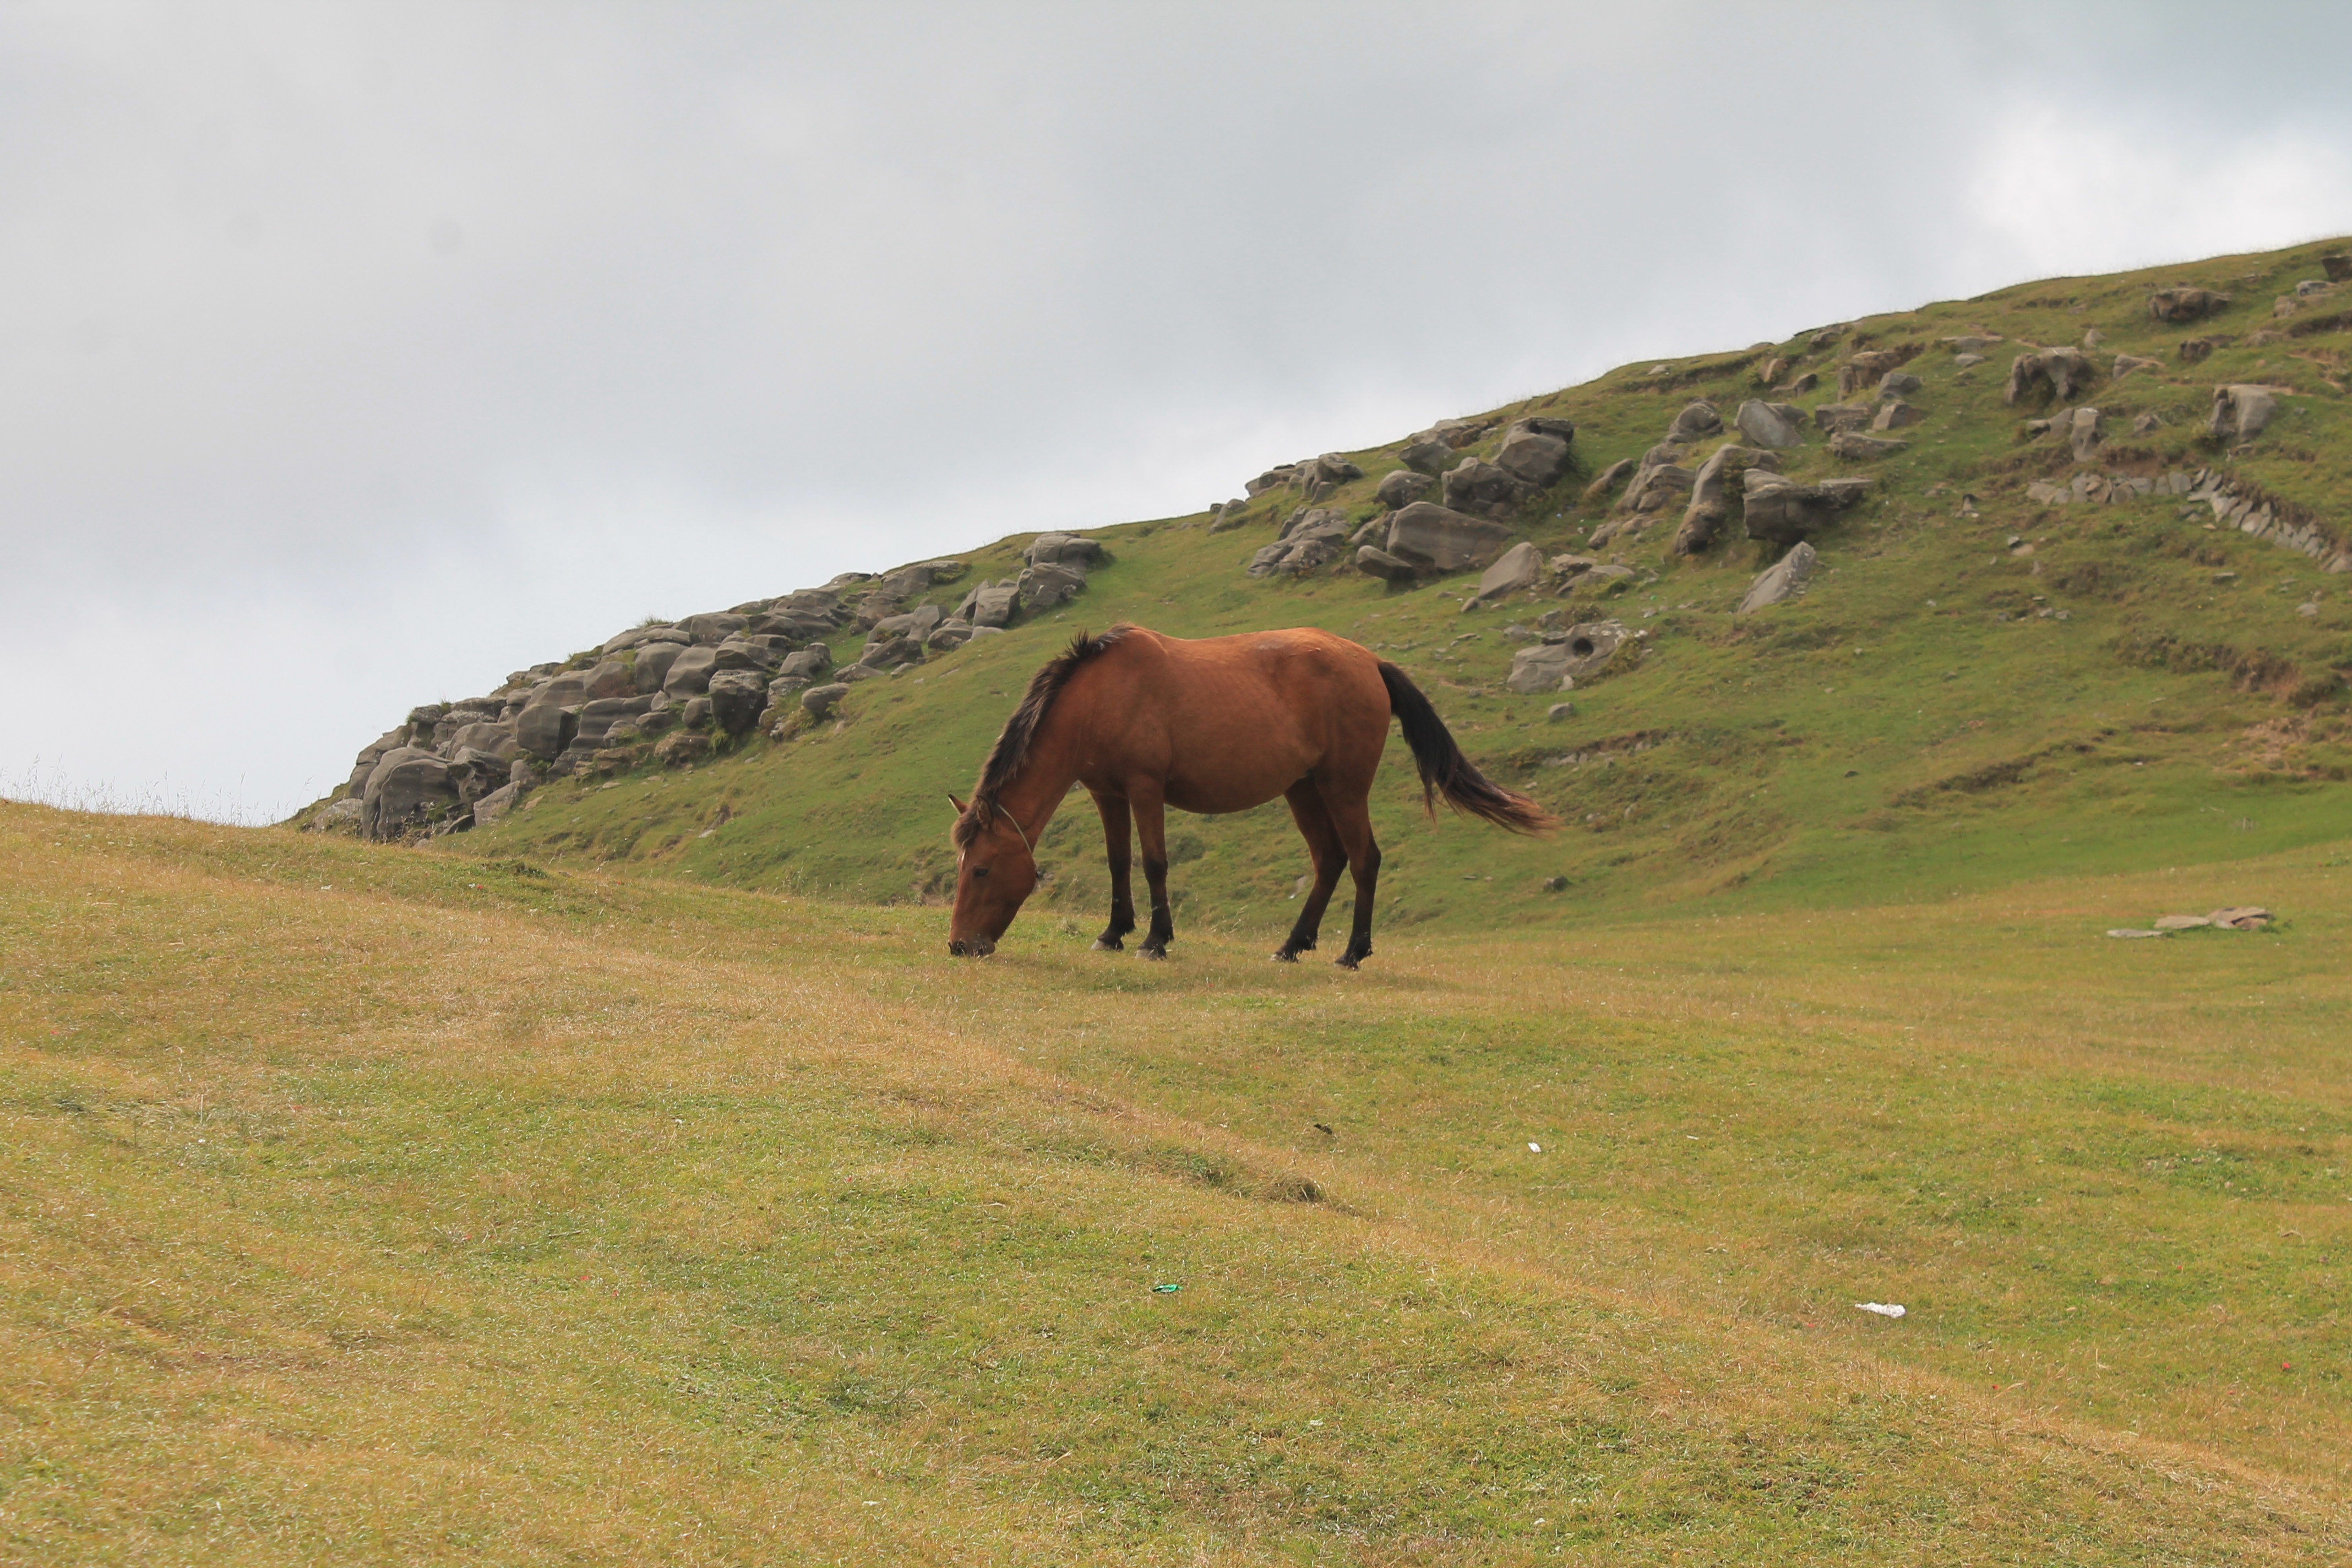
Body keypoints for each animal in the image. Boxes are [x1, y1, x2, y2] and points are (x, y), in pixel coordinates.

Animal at [945, 625, 1552, 968]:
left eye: (980, 869)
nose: (959, 945)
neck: (1102, 695)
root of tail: (1369, 663)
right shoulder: (1106, 793)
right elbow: (1119, 864)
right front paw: (1114, 933)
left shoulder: (1145, 788)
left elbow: (1154, 863)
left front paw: (1155, 941)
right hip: (1303, 790)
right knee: (1329, 860)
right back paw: (1292, 944)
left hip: (1343, 788)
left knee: (1364, 860)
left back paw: (1352, 952)